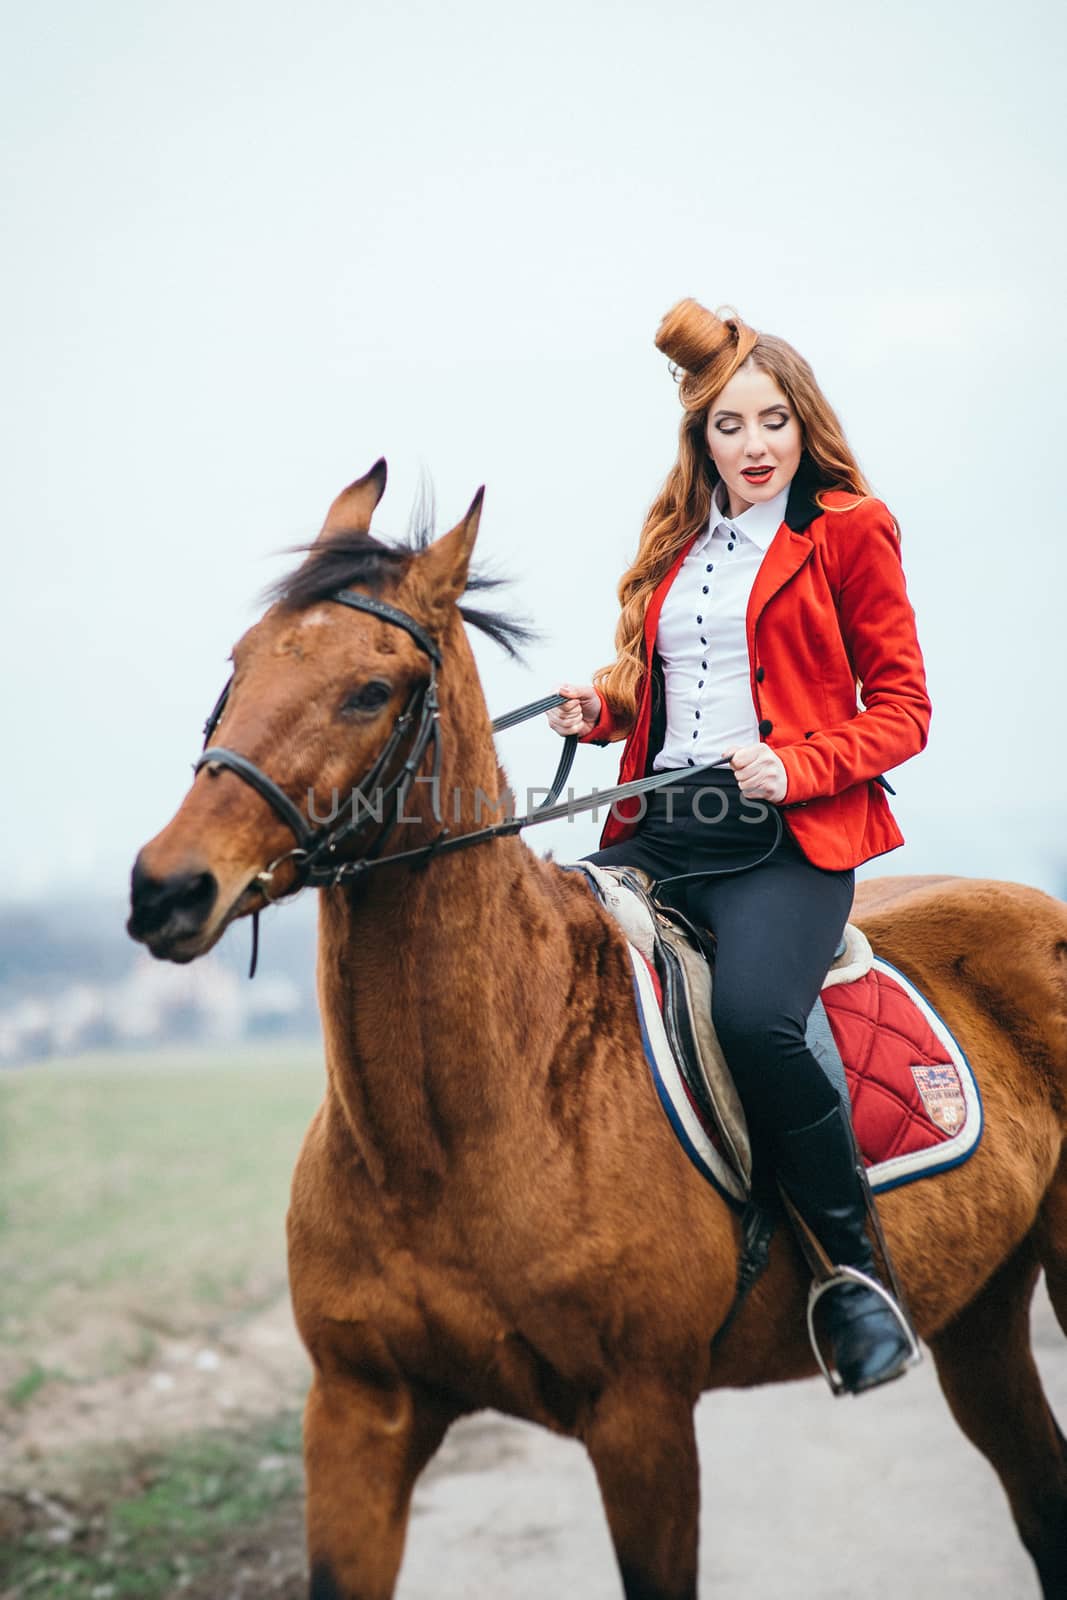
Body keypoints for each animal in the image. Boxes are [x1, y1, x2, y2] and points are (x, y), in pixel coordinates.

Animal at [127, 457, 1067, 1593]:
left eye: (370, 690)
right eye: (240, 663)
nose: (169, 888)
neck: (454, 1130)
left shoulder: (640, 1418)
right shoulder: (359, 1412)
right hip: (979, 1314)